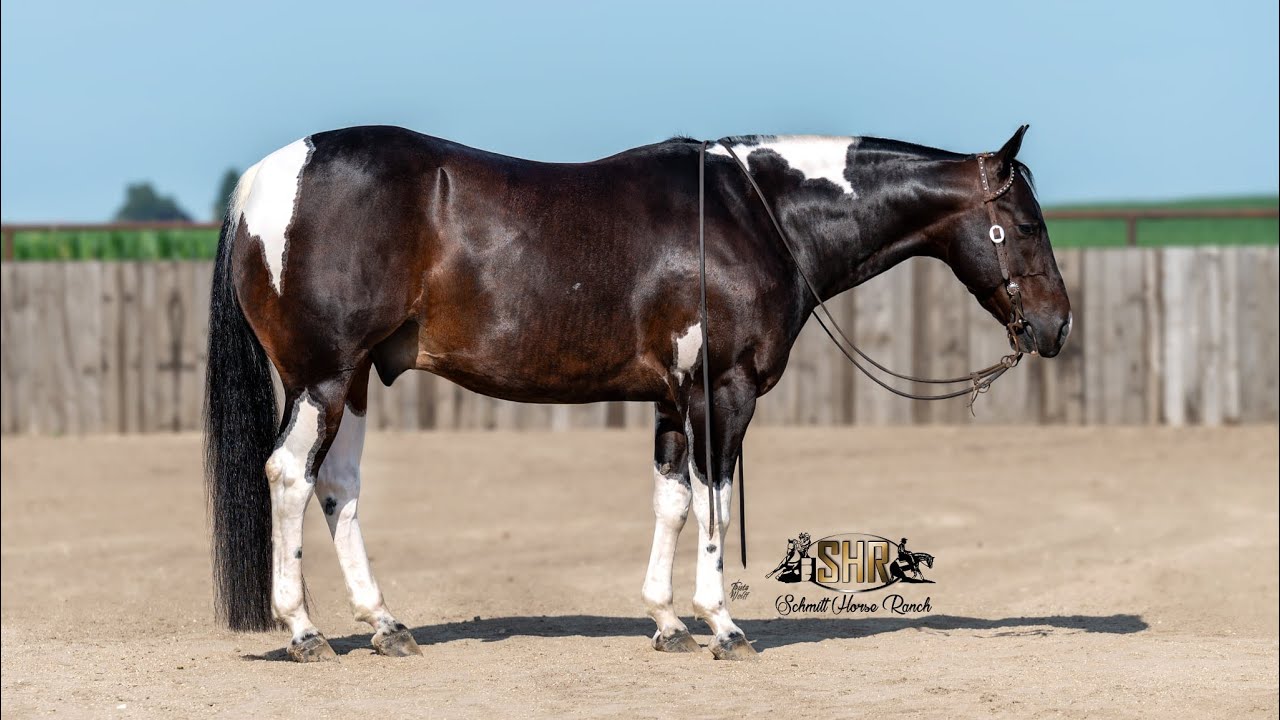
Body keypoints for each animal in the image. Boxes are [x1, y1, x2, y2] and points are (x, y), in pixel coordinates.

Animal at [204, 124, 1072, 662]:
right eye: (1027, 224)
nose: (1057, 325)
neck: (755, 214)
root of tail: (263, 184)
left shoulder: (671, 401)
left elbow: (672, 502)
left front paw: (666, 621)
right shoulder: (724, 393)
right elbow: (715, 502)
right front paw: (722, 625)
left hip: (352, 379)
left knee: (339, 486)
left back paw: (385, 625)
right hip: (321, 376)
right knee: (289, 476)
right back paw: (305, 632)